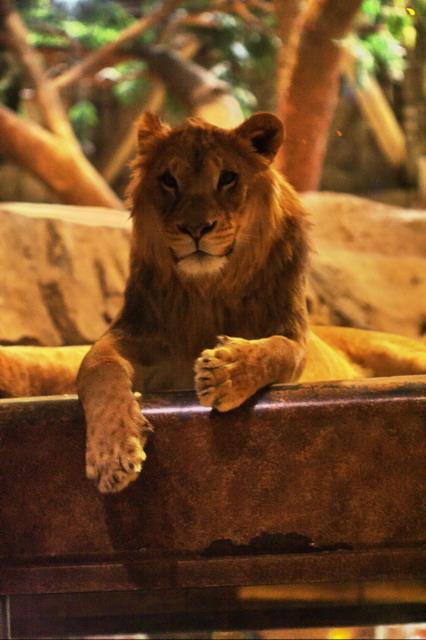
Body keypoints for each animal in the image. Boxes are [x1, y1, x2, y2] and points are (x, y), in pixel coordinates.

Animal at [1, 112, 426, 494]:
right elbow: (98, 369)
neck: (207, 291)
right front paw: (113, 452)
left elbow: (279, 349)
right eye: (168, 180)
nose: (195, 229)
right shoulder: (127, 336)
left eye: (227, 178)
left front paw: (227, 371)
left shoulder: (294, 342)